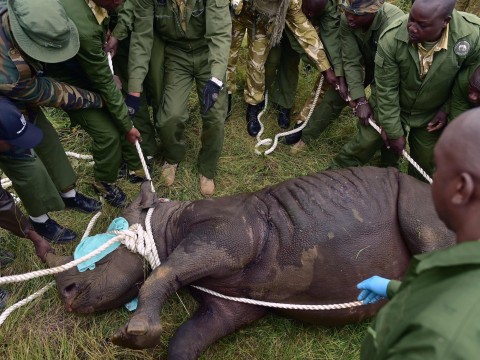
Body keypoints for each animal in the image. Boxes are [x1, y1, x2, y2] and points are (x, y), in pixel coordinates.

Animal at [47, 167, 456, 358]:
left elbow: (162, 273)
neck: (163, 226)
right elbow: (187, 338)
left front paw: (132, 334)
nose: (65, 295)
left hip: (418, 196)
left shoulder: (231, 234)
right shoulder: (229, 304)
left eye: (99, 253)